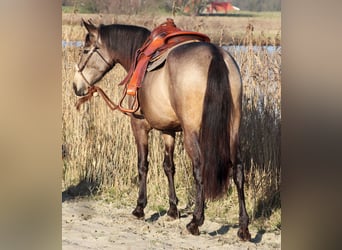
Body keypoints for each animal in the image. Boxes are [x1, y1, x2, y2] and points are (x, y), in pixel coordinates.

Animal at [71, 19, 251, 240]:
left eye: (85, 50)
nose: (76, 86)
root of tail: (215, 55)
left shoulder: (139, 127)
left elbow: (143, 165)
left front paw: (140, 208)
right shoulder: (169, 131)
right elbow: (169, 167)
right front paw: (173, 209)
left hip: (192, 133)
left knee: (199, 168)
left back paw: (196, 221)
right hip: (233, 131)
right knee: (238, 171)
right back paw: (243, 228)